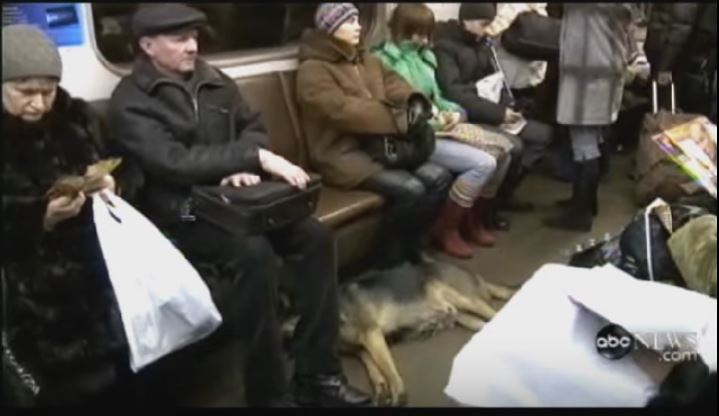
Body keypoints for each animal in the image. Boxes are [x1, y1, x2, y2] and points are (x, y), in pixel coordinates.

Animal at [282, 254, 516, 406]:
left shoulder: (372, 334)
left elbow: (386, 366)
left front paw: (397, 391)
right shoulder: (361, 347)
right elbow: (371, 365)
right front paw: (380, 387)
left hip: (461, 298)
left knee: (492, 312)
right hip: (464, 317)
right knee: (486, 324)